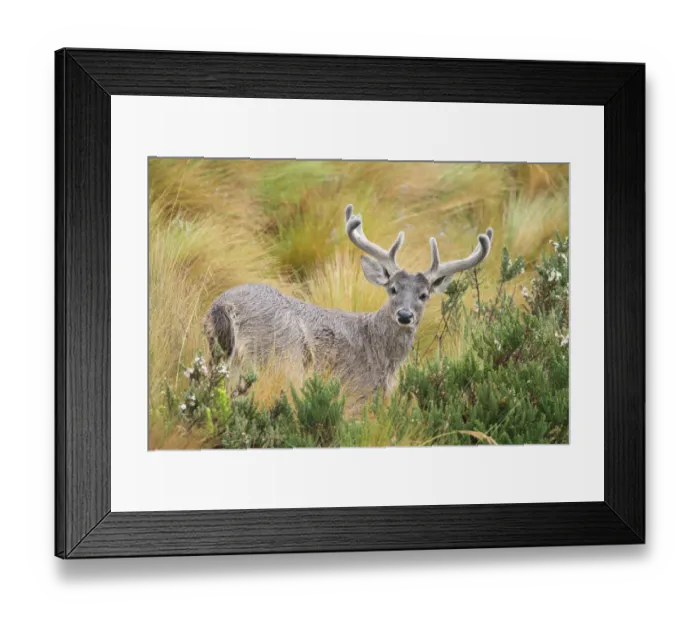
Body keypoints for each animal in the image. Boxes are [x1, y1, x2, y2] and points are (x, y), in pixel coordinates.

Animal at [204, 204, 493, 403]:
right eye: (393, 289)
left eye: (424, 295)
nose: (404, 315)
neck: (381, 354)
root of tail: (225, 306)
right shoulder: (359, 391)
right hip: (277, 359)